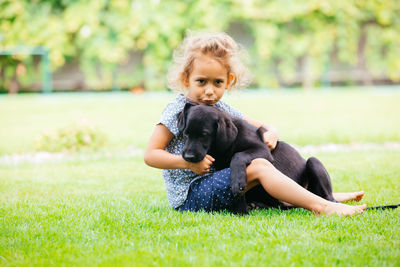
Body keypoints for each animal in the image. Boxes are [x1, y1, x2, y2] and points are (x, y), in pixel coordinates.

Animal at [178, 102, 338, 216]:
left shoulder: (263, 151)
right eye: (186, 133)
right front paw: (241, 211)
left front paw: (238, 185)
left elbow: (238, 156)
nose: (188, 157)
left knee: (327, 197)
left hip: (313, 163)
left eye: (204, 134)